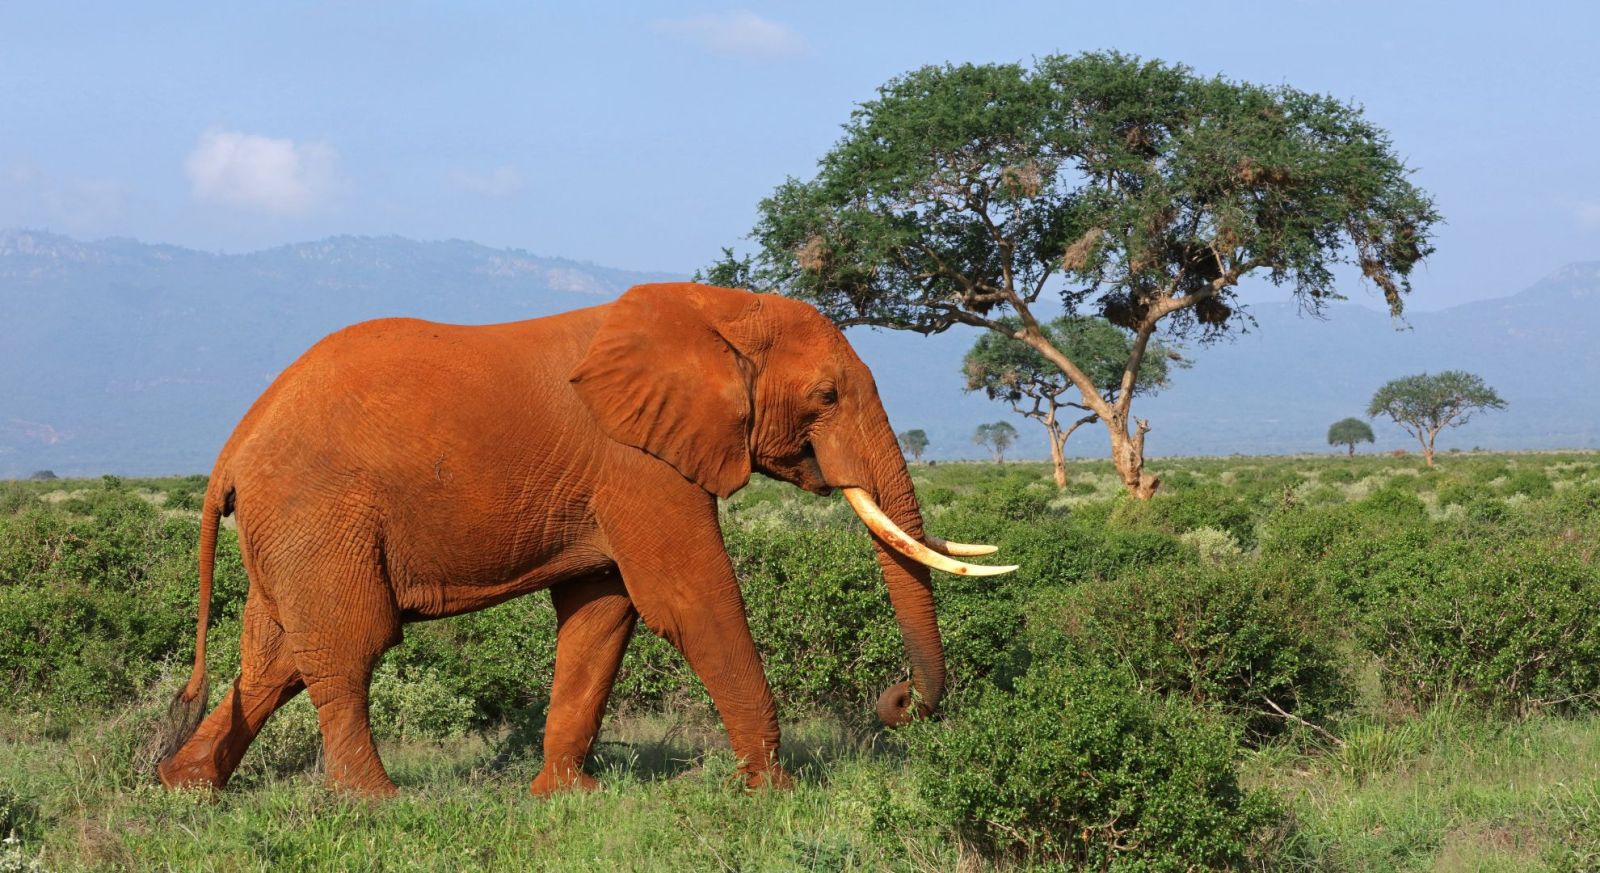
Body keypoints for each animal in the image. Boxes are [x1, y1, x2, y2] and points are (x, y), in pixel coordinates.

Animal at [155, 282, 1013, 797]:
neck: (717, 308)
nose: (894, 701)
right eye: (828, 396)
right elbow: (691, 600)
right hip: (318, 514)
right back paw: (375, 802)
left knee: (274, 657)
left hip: (289, 529)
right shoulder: (639, 465)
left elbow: (601, 615)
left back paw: (186, 784)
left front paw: (568, 798)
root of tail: (232, 448)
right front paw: (774, 793)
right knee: (347, 644)